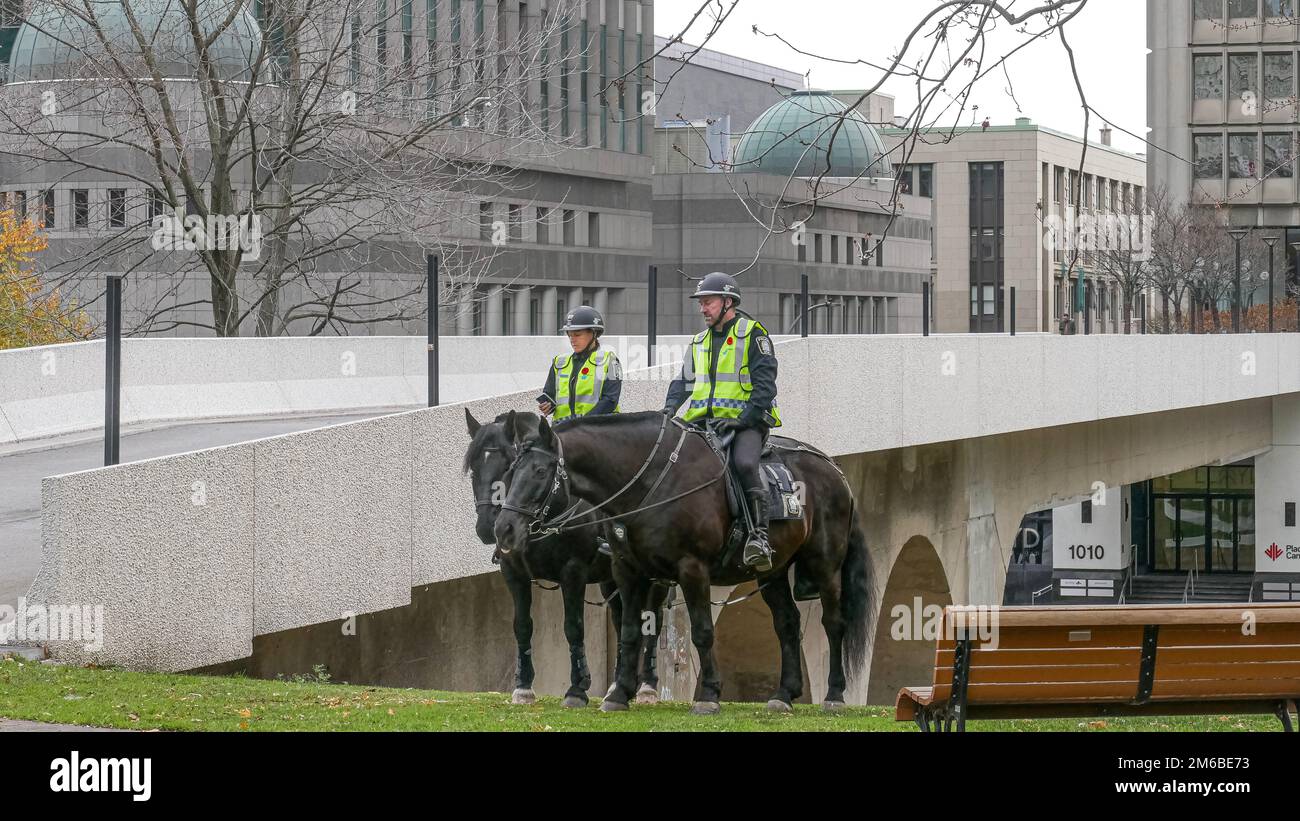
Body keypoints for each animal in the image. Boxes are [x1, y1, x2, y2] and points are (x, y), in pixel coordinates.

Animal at [465, 413, 670, 706]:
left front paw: (577, 688)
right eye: (473, 470)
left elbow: (573, 626)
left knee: (653, 619)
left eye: (507, 467)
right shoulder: (513, 571)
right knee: (620, 619)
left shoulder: (572, 572)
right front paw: (523, 687)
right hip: (612, 577)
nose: (488, 528)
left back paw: (647, 687)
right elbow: (522, 626)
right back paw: (617, 685)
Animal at [496, 413, 873, 717]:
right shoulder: (627, 571)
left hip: (825, 565)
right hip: (774, 571)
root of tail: (835, 470)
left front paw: (708, 695)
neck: (652, 484)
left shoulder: (691, 570)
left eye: (540, 471)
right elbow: (630, 631)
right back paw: (784, 694)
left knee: (834, 623)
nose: (504, 529)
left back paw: (834, 695)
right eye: (511, 472)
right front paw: (618, 695)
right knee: (788, 624)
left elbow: (703, 631)